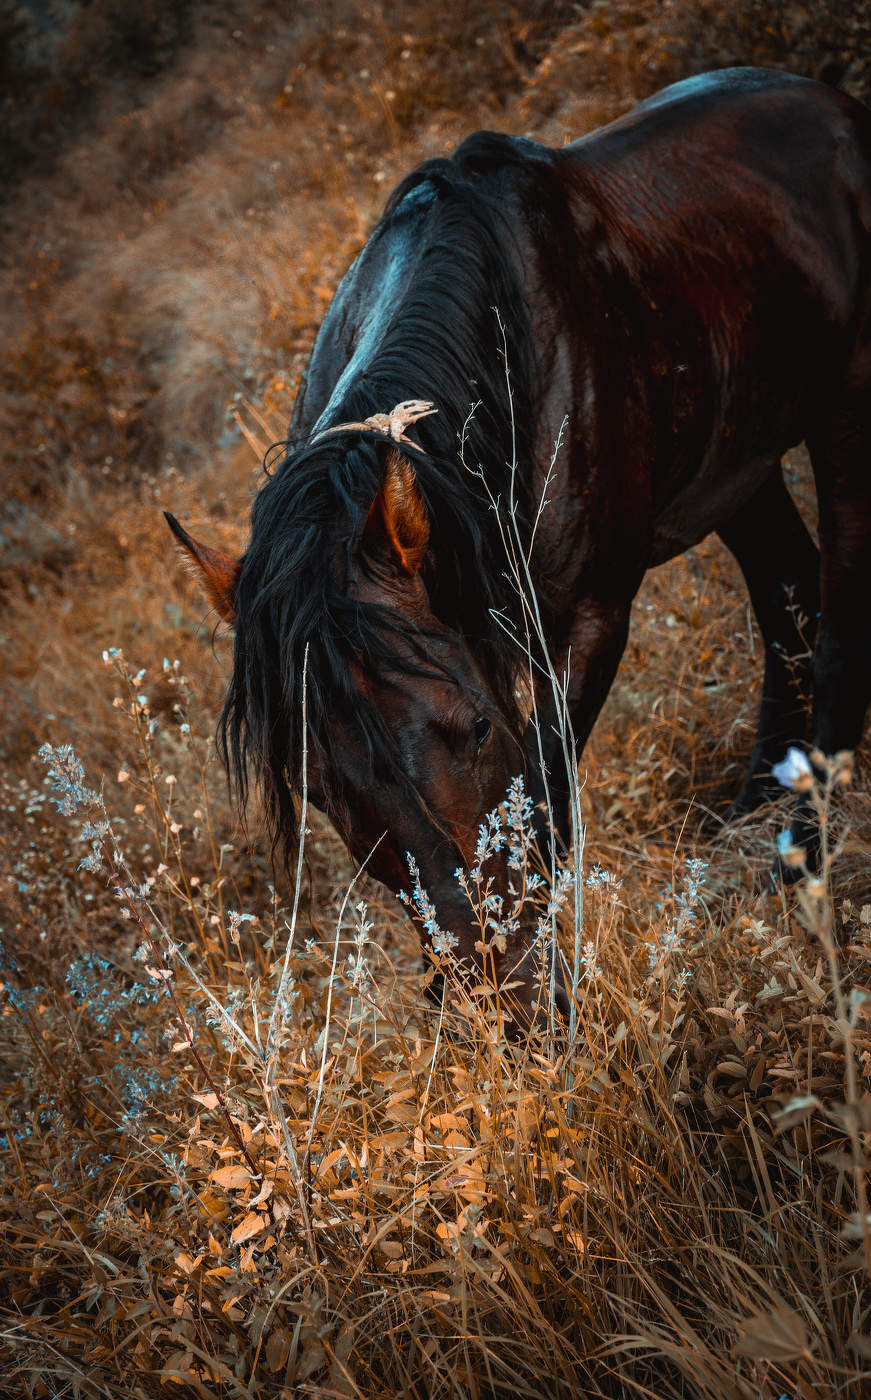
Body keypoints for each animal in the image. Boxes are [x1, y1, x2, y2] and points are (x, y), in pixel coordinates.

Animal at [166, 67, 871, 1026]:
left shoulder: (584, 620)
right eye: (319, 786)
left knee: (837, 603)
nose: (500, 999)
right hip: (743, 459)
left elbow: (542, 797)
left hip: (843, 405)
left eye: (468, 728)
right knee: (786, 593)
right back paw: (754, 811)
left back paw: (804, 853)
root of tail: (828, 103)